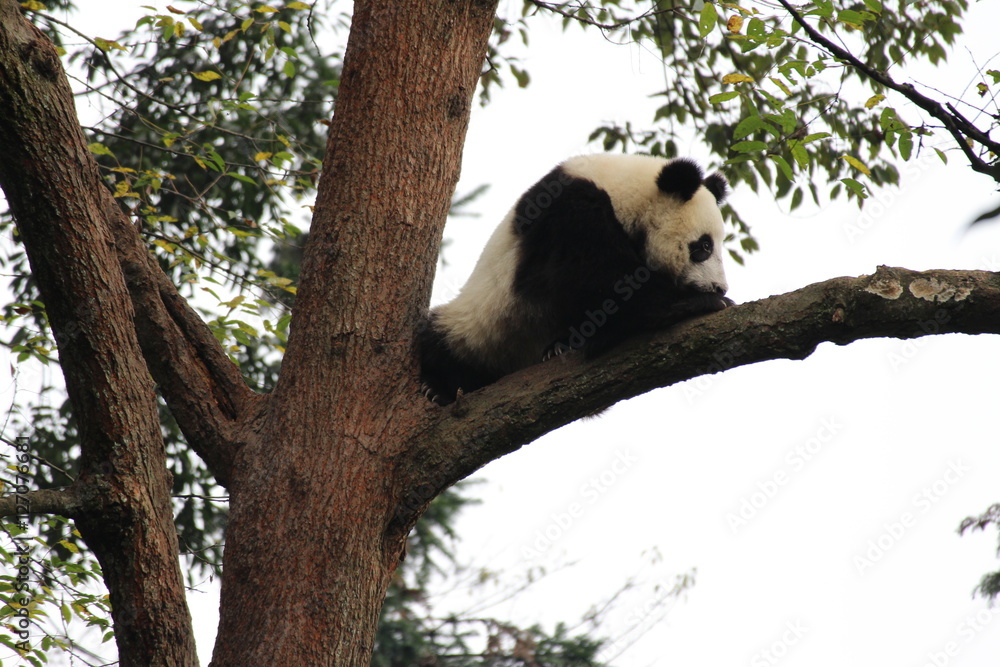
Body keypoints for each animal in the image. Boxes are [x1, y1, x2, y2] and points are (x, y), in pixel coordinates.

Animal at [418, 153, 732, 405]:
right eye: (703, 246)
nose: (719, 286)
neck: (626, 192)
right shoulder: (569, 211)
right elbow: (604, 283)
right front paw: (707, 302)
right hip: (485, 323)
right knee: (442, 342)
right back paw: (438, 390)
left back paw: (559, 346)